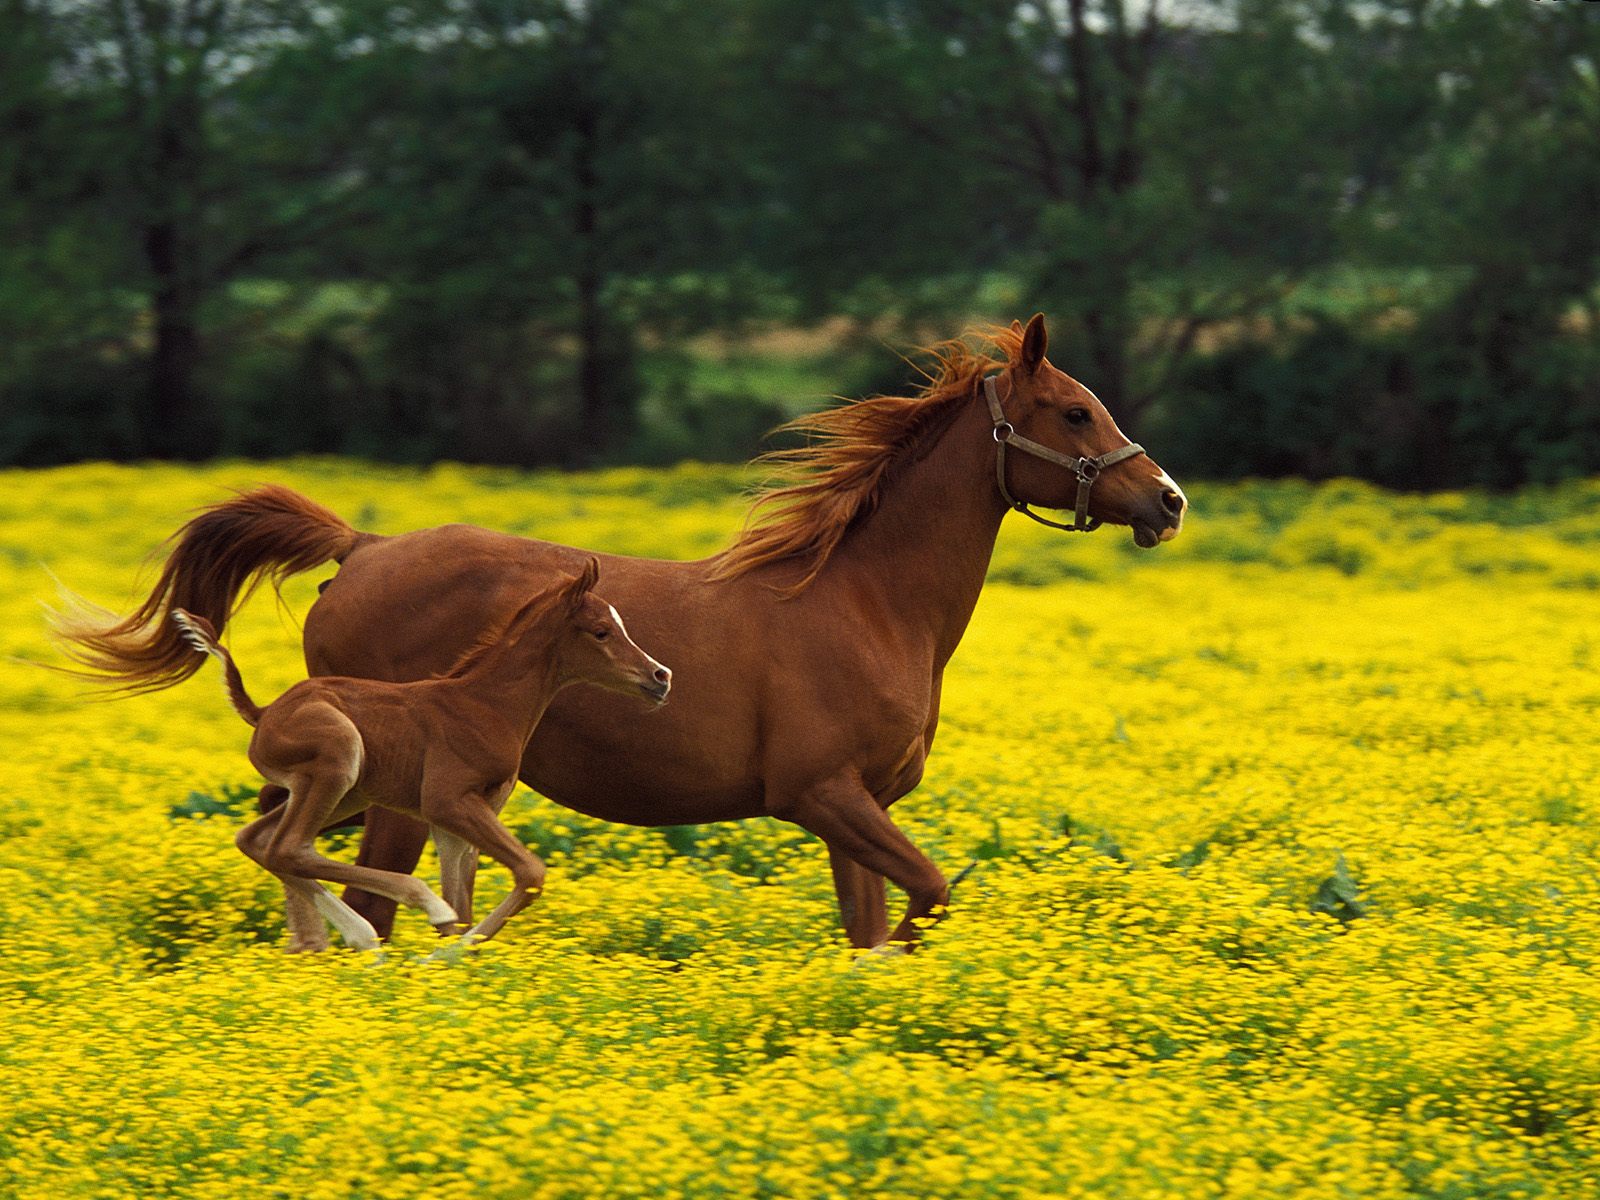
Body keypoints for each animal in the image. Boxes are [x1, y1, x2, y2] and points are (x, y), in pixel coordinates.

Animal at [173, 560, 668, 953]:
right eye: (602, 631)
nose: (660, 676)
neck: (486, 705)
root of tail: (263, 712)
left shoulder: (461, 815)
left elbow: (466, 901)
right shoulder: (446, 800)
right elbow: (529, 872)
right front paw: (444, 953)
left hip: (346, 792)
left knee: (258, 841)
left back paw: (356, 937)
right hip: (339, 756)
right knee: (289, 846)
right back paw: (407, 912)